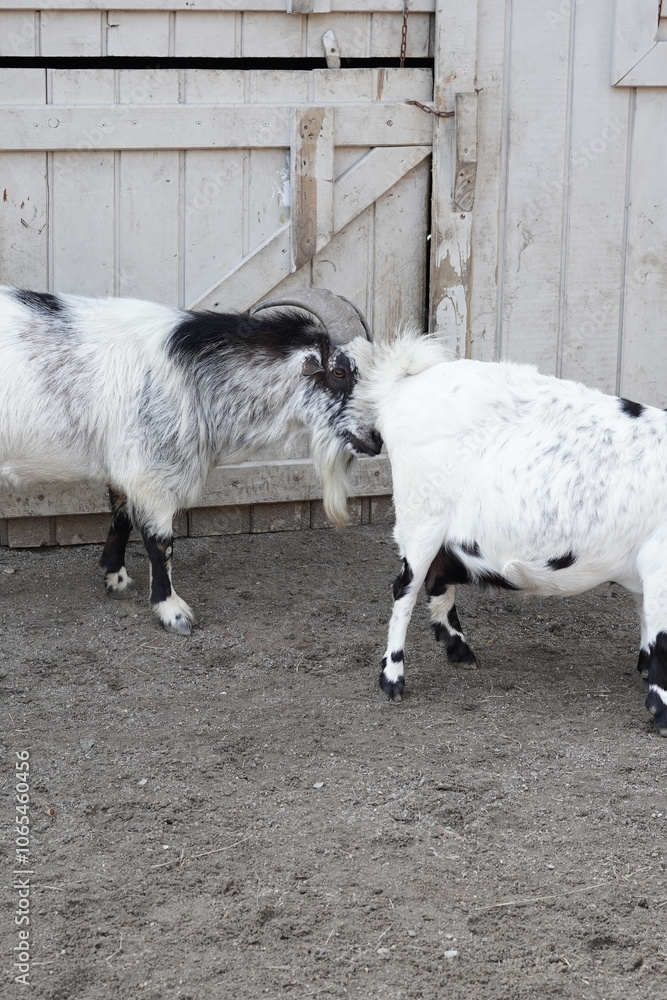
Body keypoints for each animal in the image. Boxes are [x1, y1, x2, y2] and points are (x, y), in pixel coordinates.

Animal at [0, 286, 380, 634]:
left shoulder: (126, 465)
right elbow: (160, 543)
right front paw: (172, 612)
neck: (193, 376)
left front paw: (116, 579)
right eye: (340, 372)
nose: (376, 438)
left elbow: (121, 518)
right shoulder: (151, 470)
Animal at [356, 328, 667, 736]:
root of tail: (406, 383)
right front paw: (662, 712)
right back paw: (393, 679)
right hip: (420, 518)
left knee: (437, 577)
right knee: (405, 590)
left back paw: (460, 650)